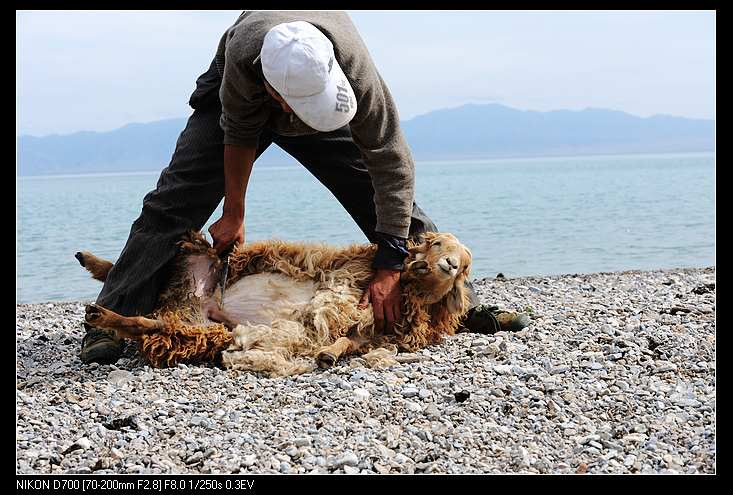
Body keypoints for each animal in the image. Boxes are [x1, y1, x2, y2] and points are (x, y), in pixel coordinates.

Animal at [76, 231, 474, 378]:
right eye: (437, 243)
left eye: (464, 265)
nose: (448, 264)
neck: (409, 290)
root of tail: (189, 298)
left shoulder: (376, 333)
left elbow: (347, 340)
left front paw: (328, 354)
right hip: (197, 255)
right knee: (138, 276)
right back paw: (94, 280)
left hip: (197, 329)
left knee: (149, 322)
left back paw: (103, 312)